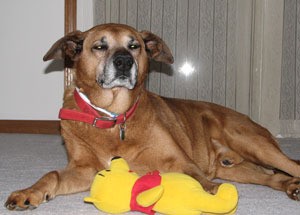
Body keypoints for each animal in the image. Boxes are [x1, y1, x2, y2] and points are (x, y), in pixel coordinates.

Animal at [4, 23, 300, 210]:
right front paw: (29, 192)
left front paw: (214, 194)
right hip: (237, 168)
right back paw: (291, 186)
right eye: (99, 47)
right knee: (273, 178)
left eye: (135, 45)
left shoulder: (182, 161)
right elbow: (52, 174)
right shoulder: (85, 169)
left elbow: (201, 181)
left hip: (253, 143)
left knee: (291, 164)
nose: (124, 61)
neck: (115, 118)